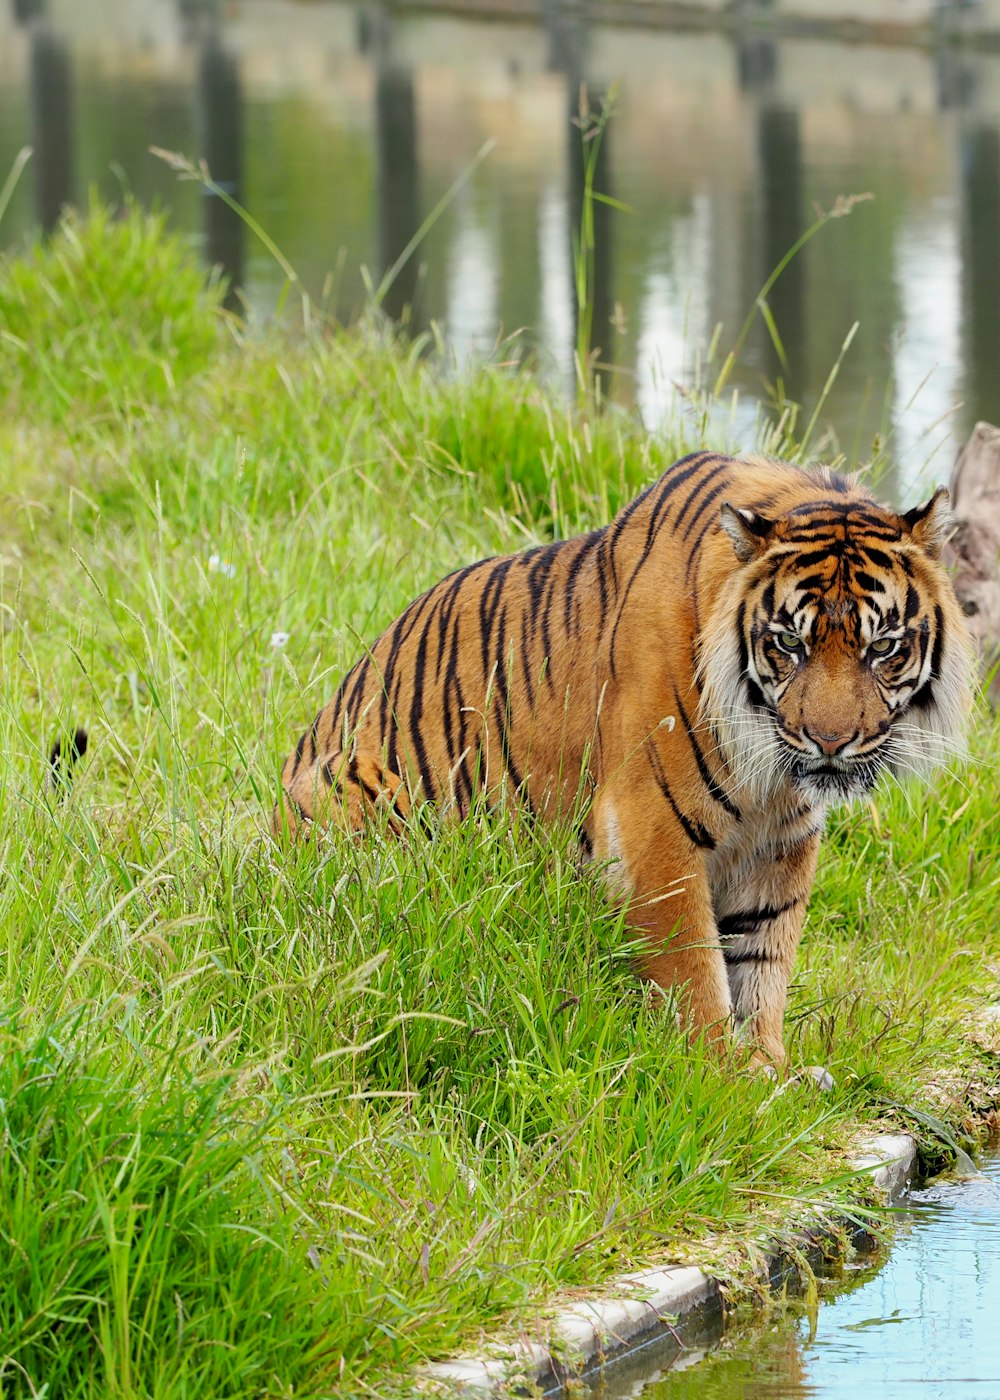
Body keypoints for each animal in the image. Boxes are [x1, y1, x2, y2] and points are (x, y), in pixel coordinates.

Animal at [274, 453, 974, 1064]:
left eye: (883, 646)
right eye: (787, 643)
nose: (829, 742)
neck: (768, 775)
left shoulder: (781, 842)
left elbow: (764, 958)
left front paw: (770, 1067)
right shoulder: (653, 821)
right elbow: (694, 963)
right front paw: (718, 1073)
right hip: (368, 791)